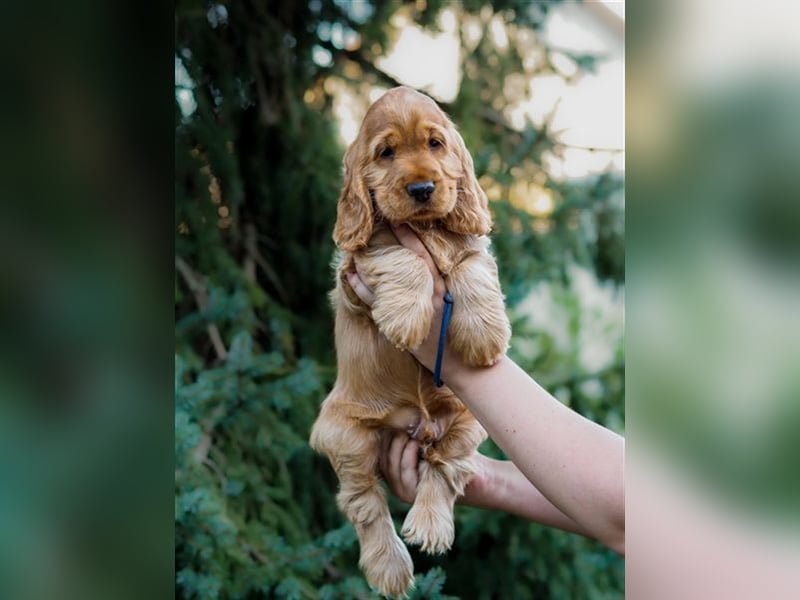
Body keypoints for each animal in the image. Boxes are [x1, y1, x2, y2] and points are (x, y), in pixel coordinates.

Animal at [310, 86, 510, 596]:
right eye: (386, 153)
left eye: (435, 144)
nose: (421, 189)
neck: (425, 227)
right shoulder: (354, 270)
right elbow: (400, 255)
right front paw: (404, 317)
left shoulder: (473, 247)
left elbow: (472, 266)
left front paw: (484, 333)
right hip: (346, 434)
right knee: (363, 502)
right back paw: (390, 566)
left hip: (469, 421)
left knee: (443, 466)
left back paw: (430, 525)